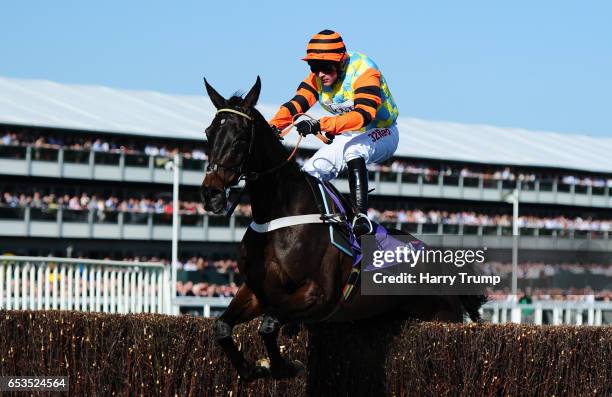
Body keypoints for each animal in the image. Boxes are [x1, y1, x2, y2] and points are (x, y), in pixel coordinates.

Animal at [201, 76, 488, 380]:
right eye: (209, 133)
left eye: (241, 138)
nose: (211, 194)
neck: (279, 215)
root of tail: (440, 259)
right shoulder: (258, 290)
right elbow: (222, 327)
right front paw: (248, 370)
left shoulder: (317, 295)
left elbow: (268, 325)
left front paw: (282, 366)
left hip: (443, 316)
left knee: (354, 152)